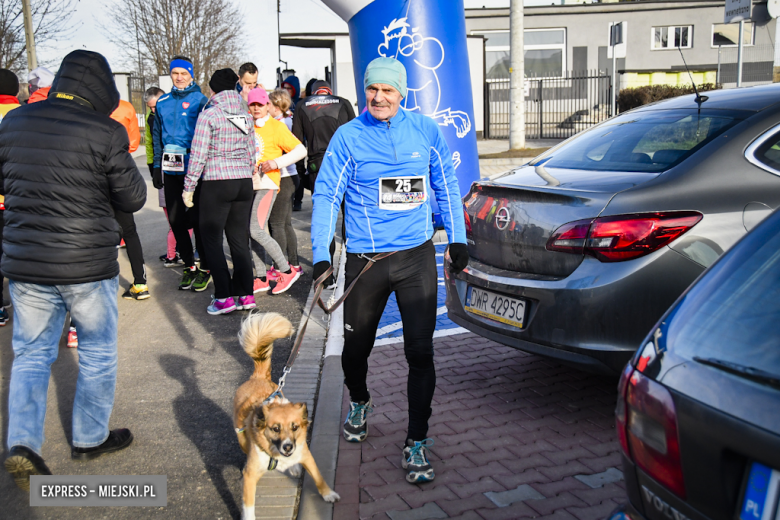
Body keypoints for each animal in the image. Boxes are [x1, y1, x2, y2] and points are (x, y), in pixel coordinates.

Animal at [233, 312, 340, 520]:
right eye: (275, 428)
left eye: (295, 426)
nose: (288, 446)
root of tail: (258, 377)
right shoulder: (250, 477)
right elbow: (248, 507)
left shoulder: (306, 455)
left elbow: (318, 477)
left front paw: (328, 493)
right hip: (241, 439)